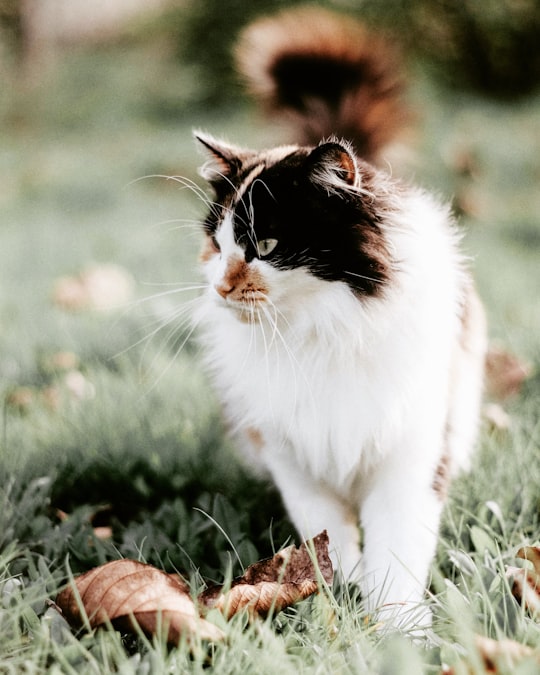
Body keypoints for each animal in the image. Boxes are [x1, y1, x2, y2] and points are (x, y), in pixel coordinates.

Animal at [192, 6, 488, 628]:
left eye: (266, 245)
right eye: (218, 243)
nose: (222, 287)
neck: (321, 332)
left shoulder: (413, 452)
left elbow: (398, 548)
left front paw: (397, 626)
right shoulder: (293, 456)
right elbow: (327, 537)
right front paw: (339, 599)